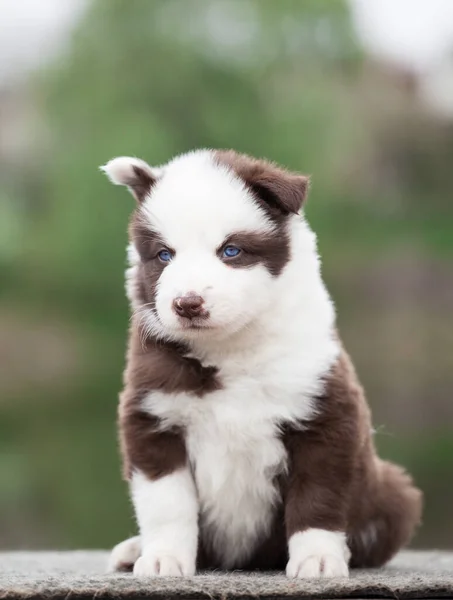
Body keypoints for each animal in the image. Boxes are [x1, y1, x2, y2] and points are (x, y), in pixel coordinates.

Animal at [100, 149, 422, 576]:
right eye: (164, 255)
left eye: (231, 251)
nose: (187, 303)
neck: (231, 348)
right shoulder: (153, 418)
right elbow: (167, 502)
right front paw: (163, 557)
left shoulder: (325, 414)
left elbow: (316, 497)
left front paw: (318, 559)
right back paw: (134, 549)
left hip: (392, 493)